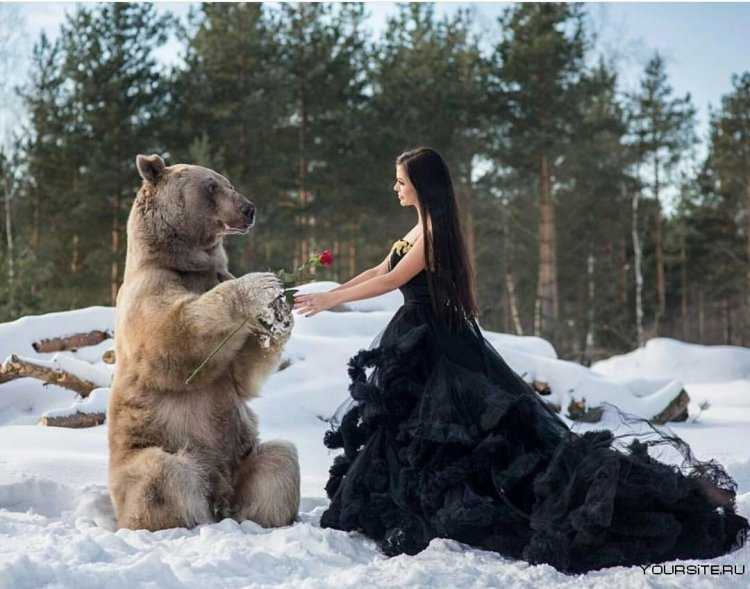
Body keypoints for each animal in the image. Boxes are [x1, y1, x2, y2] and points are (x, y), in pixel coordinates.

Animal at [107, 153, 299, 532]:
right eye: (211, 185)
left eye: (228, 181)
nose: (248, 208)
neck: (184, 260)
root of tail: (220, 496)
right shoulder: (149, 288)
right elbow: (171, 336)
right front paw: (261, 286)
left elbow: (243, 373)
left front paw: (279, 311)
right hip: (149, 450)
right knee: (163, 476)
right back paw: (184, 520)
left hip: (242, 456)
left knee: (279, 462)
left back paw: (259, 518)